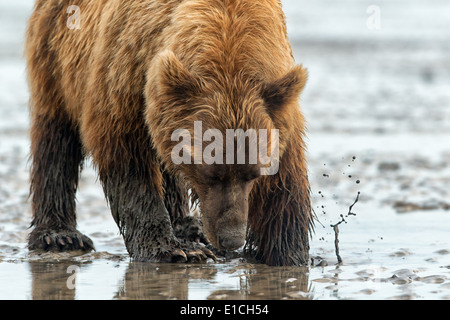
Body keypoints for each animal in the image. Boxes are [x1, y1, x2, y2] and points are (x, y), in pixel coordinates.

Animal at [25, 0, 312, 264]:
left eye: (254, 173)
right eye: (210, 173)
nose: (231, 239)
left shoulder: (276, 105)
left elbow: (285, 179)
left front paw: (288, 253)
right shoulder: (129, 70)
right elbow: (126, 155)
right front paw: (172, 249)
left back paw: (189, 226)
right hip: (56, 54)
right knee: (56, 139)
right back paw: (59, 235)